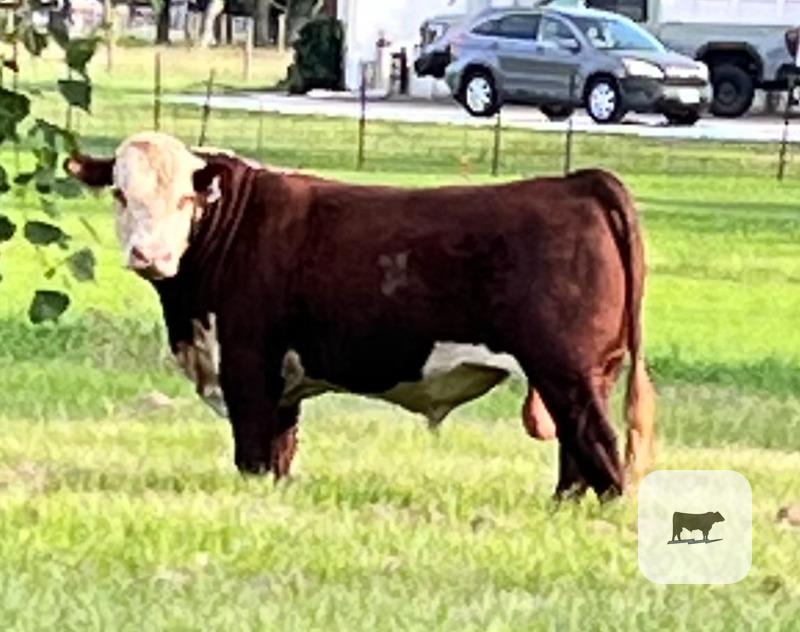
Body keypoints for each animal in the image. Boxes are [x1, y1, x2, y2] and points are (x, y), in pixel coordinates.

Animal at [66, 131, 656, 499]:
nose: (150, 255)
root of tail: (577, 181)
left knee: (600, 449)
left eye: (187, 200)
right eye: (120, 193)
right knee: (575, 456)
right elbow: (280, 454)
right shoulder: (284, 383)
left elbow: (253, 454)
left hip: (566, 369)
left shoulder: (248, 364)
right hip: (586, 374)